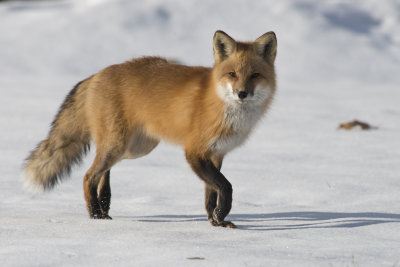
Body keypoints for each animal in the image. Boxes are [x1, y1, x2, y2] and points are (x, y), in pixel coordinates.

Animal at [23, 30, 276, 228]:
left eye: (255, 75)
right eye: (232, 74)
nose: (242, 93)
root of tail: (97, 74)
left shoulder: (216, 154)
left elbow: (210, 193)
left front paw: (216, 221)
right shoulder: (194, 152)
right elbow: (225, 186)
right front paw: (220, 214)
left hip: (134, 148)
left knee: (102, 171)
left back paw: (104, 207)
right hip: (119, 145)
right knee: (88, 175)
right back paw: (95, 214)